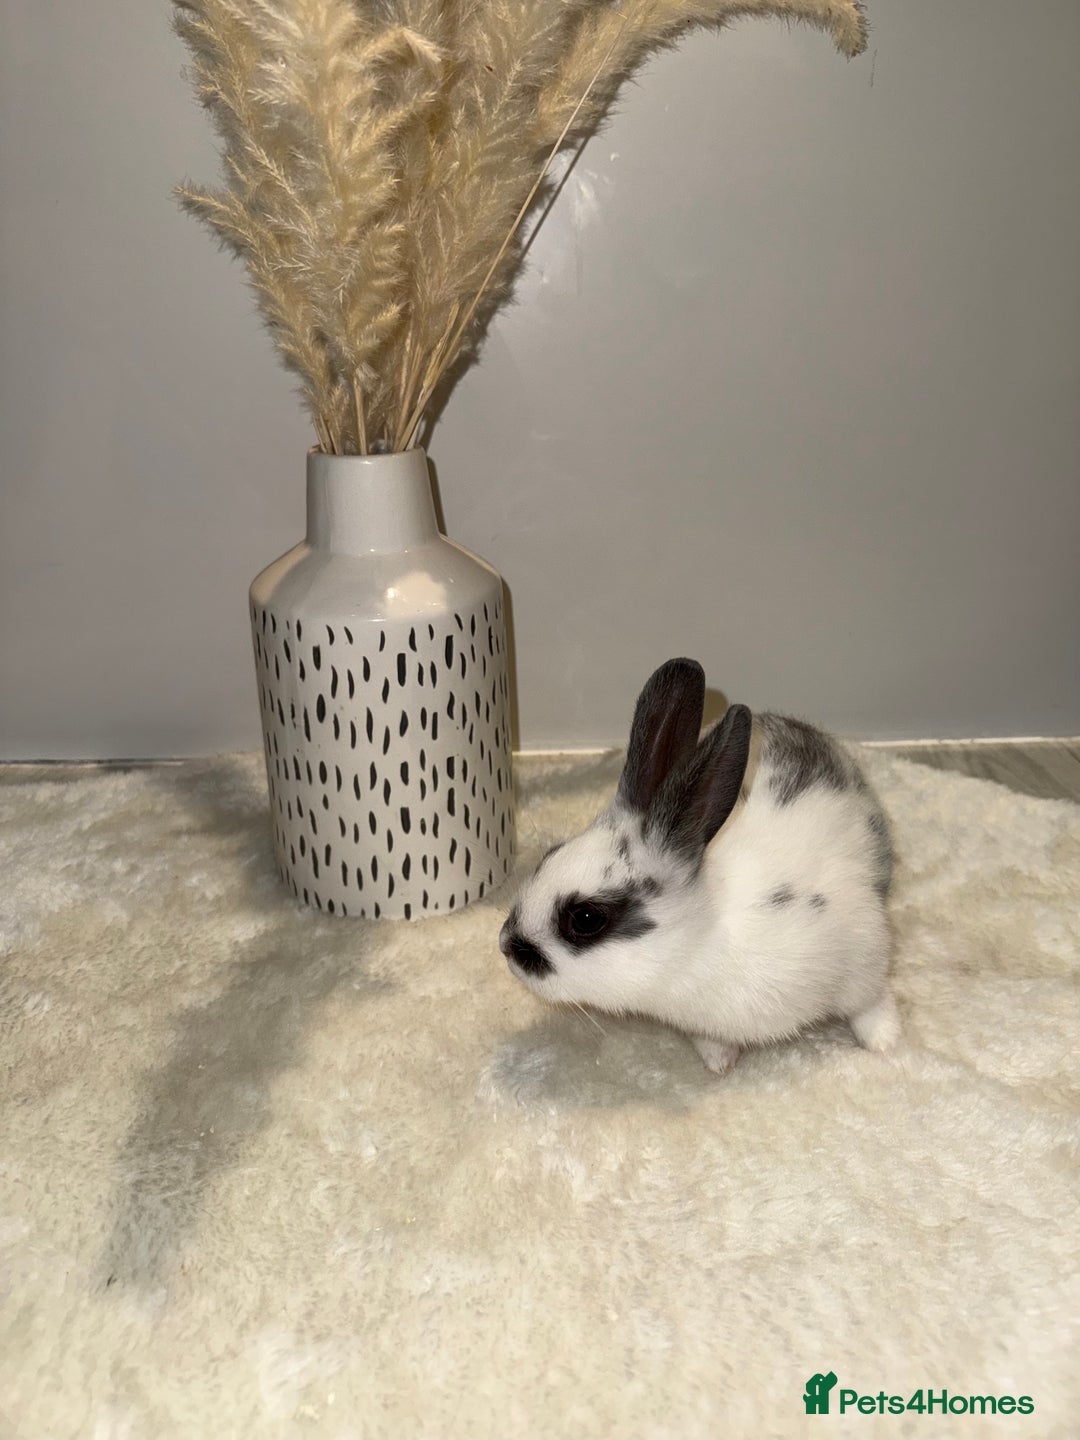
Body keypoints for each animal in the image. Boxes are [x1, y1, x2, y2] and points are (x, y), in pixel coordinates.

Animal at [498, 657, 900, 1074]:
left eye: (586, 919)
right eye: (550, 854)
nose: (506, 946)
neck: (700, 942)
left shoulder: (863, 948)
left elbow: (870, 1002)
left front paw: (884, 1043)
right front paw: (720, 1062)